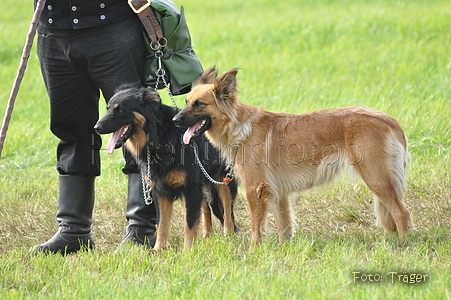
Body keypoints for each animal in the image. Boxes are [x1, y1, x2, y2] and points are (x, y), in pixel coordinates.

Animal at [94, 86, 238, 251]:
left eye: (120, 110)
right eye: (108, 108)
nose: (96, 128)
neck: (158, 137)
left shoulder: (190, 188)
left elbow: (189, 222)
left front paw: (188, 251)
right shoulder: (160, 190)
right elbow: (161, 223)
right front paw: (158, 249)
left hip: (224, 180)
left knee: (227, 211)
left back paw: (229, 237)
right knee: (206, 209)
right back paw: (207, 237)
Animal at [174, 68, 416, 248]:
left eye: (199, 104)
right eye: (186, 101)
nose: (175, 120)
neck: (240, 126)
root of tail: (390, 121)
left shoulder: (255, 189)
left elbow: (255, 225)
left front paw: (253, 250)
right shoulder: (279, 192)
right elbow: (284, 224)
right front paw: (284, 249)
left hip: (377, 179)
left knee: (402, 214)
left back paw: (404, 245)